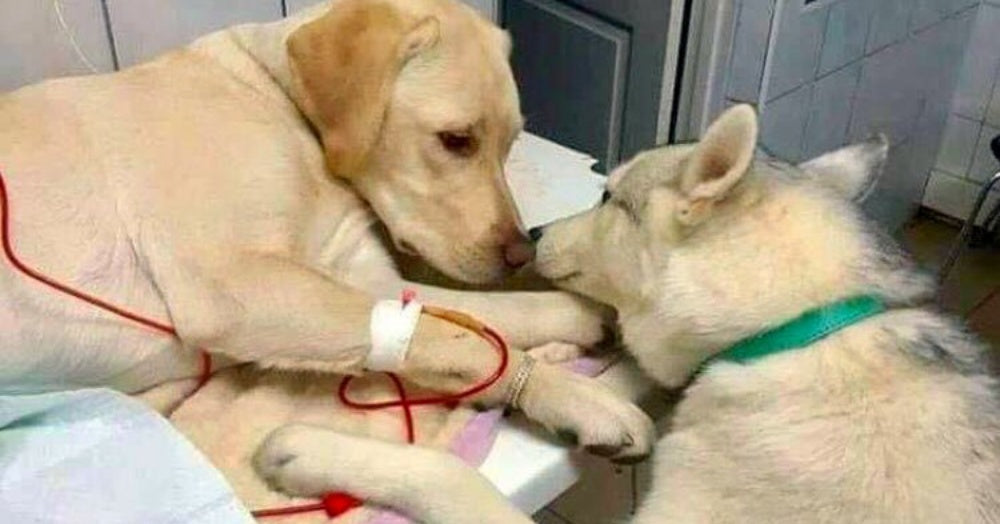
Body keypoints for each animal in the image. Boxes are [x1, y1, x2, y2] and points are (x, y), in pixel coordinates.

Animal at [0, 0, 652, 506]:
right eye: (456, 140)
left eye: (513, 141)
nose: (520, 252)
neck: (284, 109)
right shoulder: (239, 288)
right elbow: (462, 338)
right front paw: (583, 398)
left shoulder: (367, 283)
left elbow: (486, 319)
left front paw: (585, 317)